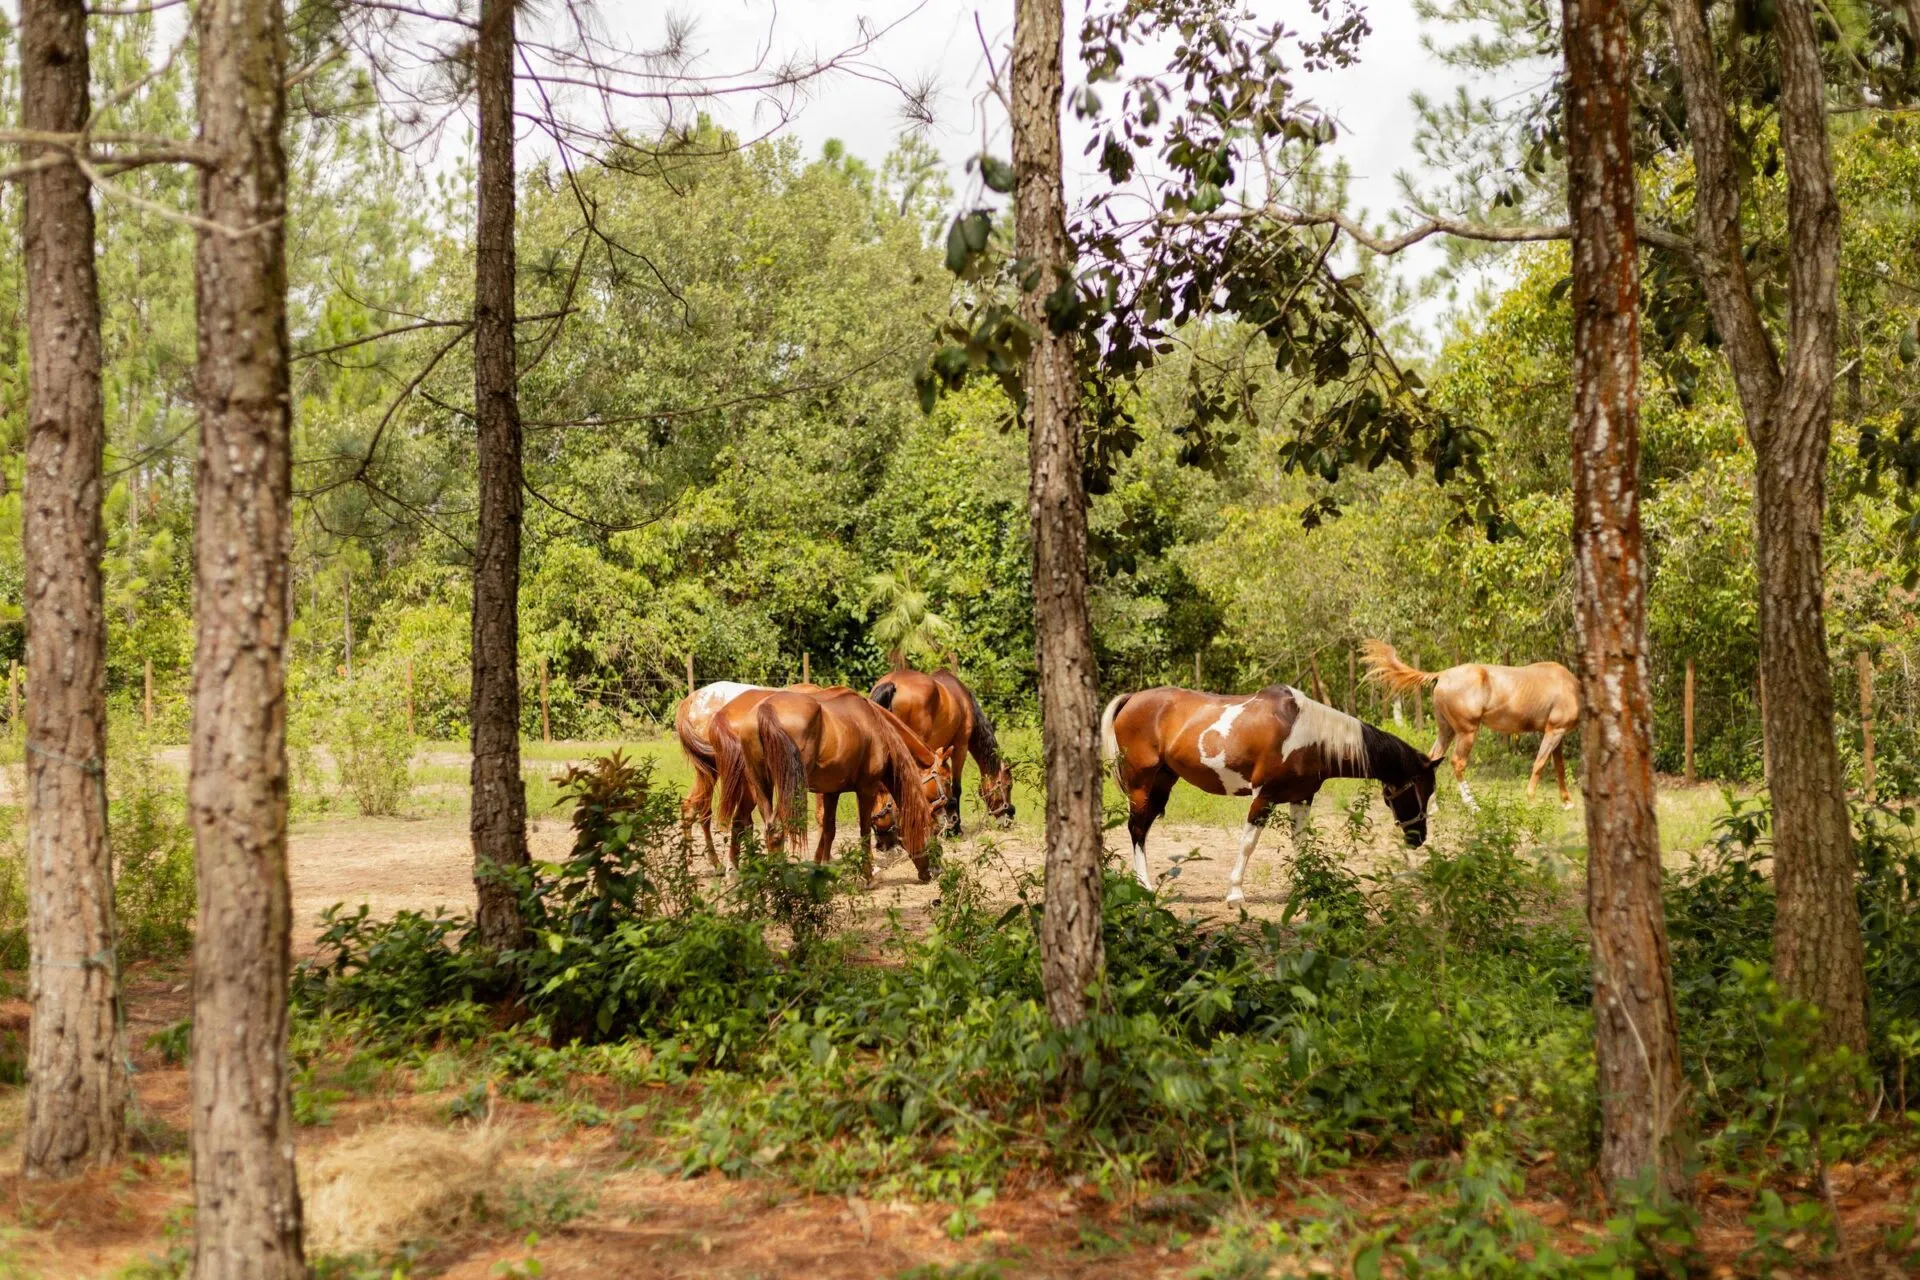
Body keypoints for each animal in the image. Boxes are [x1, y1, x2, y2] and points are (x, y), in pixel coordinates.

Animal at [711, 687, 951, 881]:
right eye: (932, 830)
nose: (936, 871)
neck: (875, 726)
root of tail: (765, 710)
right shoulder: (866, 788)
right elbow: (863, 830)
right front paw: (867, 875)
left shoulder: (831, 791)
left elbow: (829, 828)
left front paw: (821, 868)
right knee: (770, 828)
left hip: (762, 786)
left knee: (758, 825)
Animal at [869, 668, 1015, 832]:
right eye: (1008, 785)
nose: (1010, 816)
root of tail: (893, 683)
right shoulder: (960, 748)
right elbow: (955, 788)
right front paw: (955, 827)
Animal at [1100, 684, 1440, 903]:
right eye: (1422, 789)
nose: (1418, 837)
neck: (1308, 735)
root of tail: (1131, 699)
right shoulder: (1263, 797)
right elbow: (1248, 844)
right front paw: (1235, 893)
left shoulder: (1301, 798)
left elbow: (1300, 842)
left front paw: (1306, 886)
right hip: (1141, 784)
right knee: (1136, 829)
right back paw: (1144, 886)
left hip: (1162, 783)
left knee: (1143, 830)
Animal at [1361, 641, 1581, 808]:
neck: (1571, 686)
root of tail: (1441, 674)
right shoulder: (1554, 731)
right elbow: (1540, 764)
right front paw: (1532, 801)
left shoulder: (1557, 735)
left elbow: (1559, 767)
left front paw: (1567, 802)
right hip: (1467, 732)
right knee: (1457, 762)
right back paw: (1472, 805)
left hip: (1446, 731)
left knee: (1433, 758)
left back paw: (1433, 806)